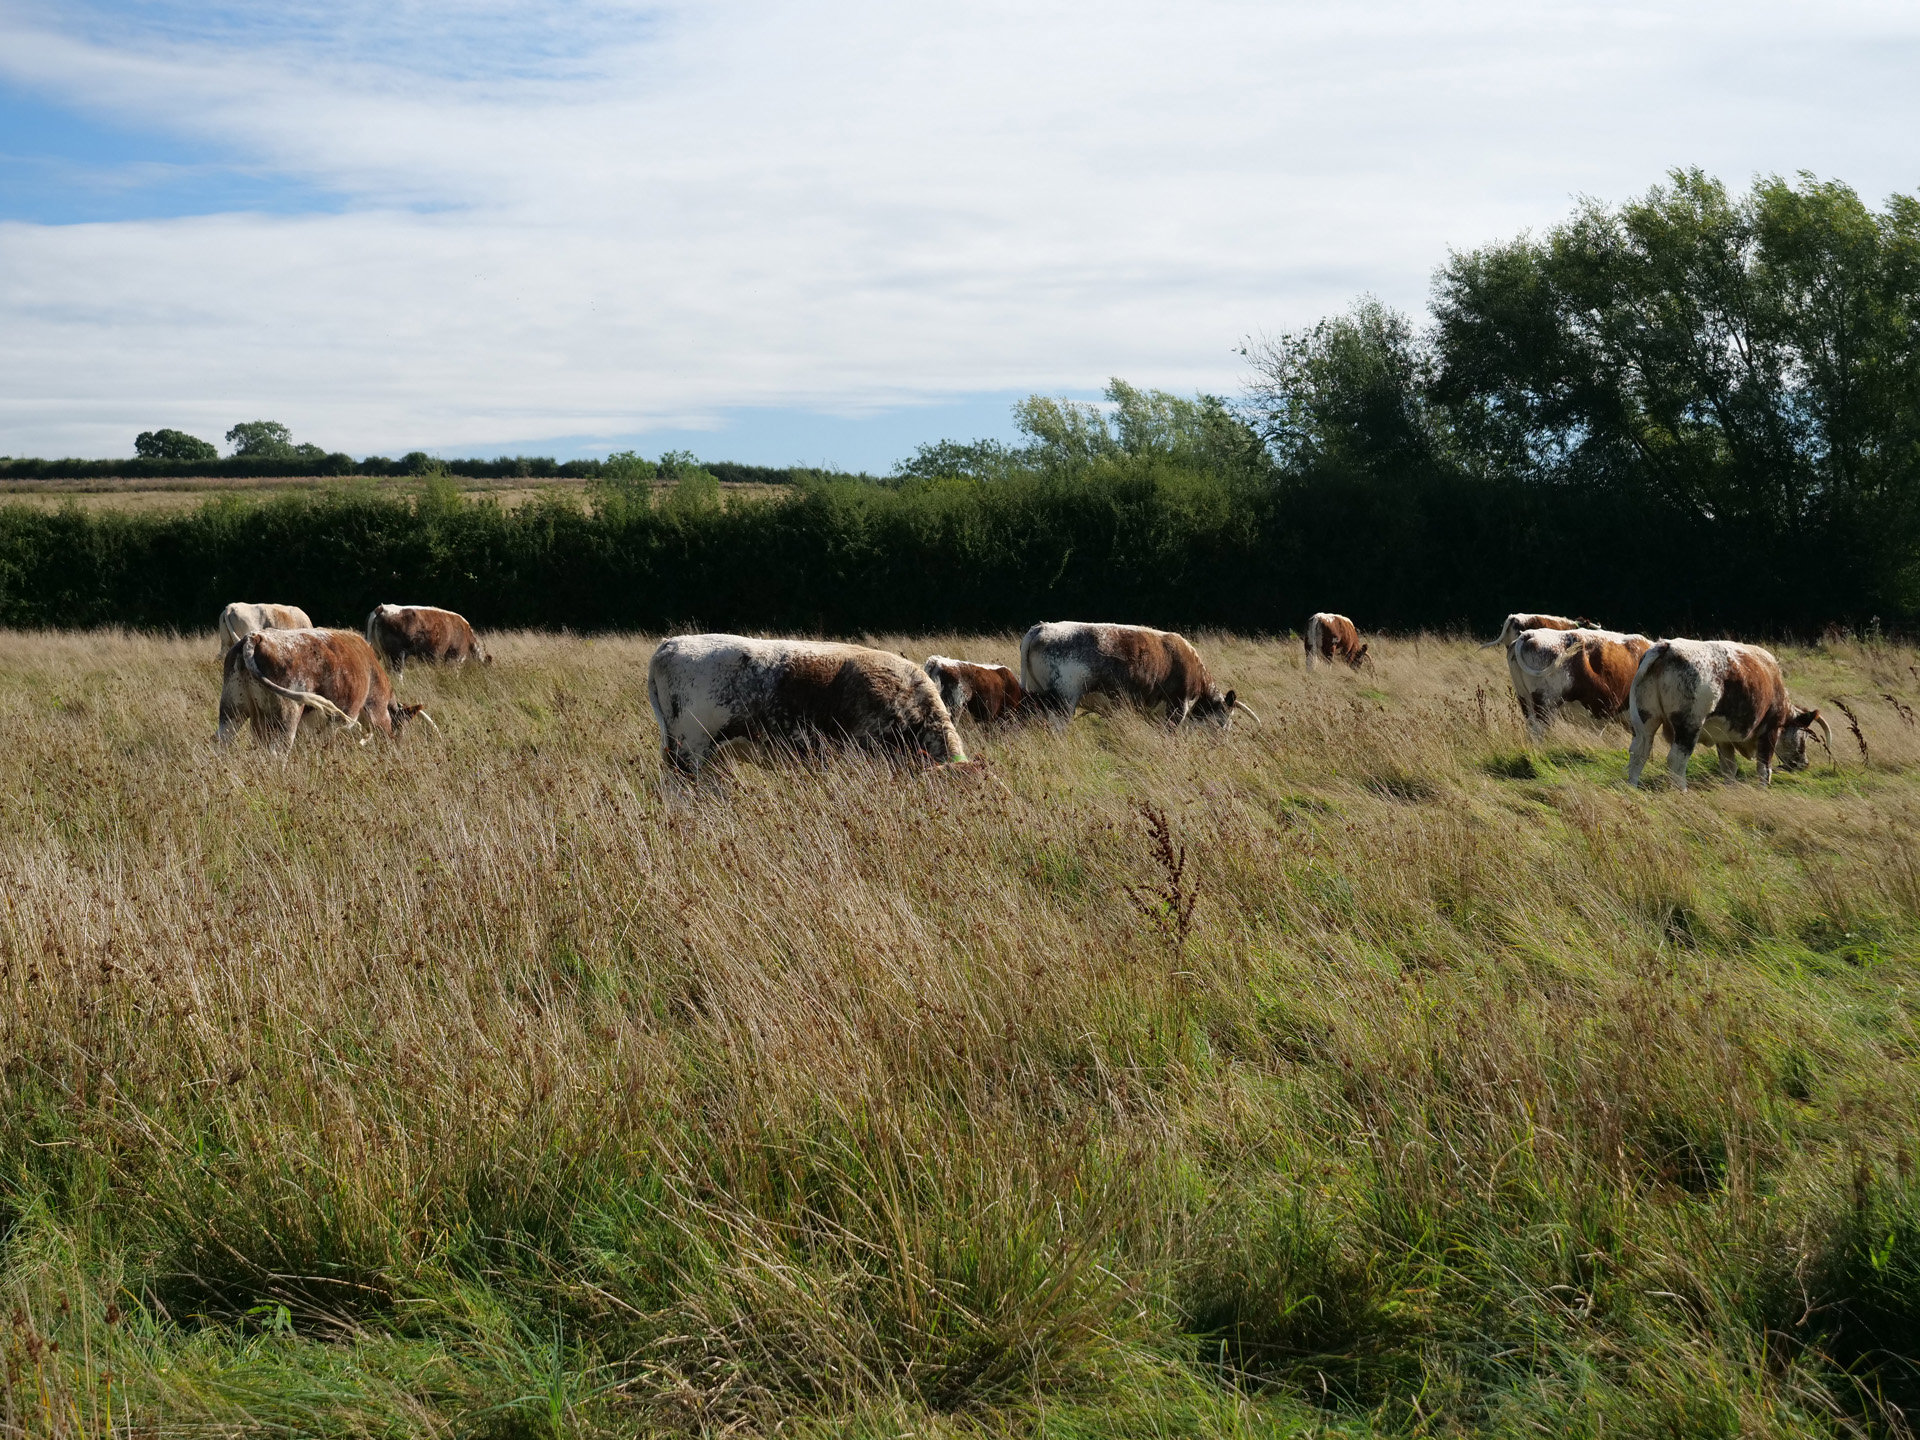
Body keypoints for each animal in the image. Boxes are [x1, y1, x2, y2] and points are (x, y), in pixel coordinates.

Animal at [218, 628, 433, 753]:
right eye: (402, 727)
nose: (398, 749)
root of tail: (255, 637)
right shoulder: (371, 713)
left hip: (232, 710)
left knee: (220, 745)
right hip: (287, 716)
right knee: (277, 753)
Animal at [1626, 639, 1829, 789]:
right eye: (1803, 736)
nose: (1804, 763)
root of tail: (1667, 646)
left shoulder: (1724, 738)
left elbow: (1729, 768)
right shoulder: (1770, 730)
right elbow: (1764, 768)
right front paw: (1763, 789)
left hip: (1646, 720)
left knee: (1640, 752)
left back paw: (1633, 786)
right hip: (1689, 725)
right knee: (1676, 759)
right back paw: (1681, 790)